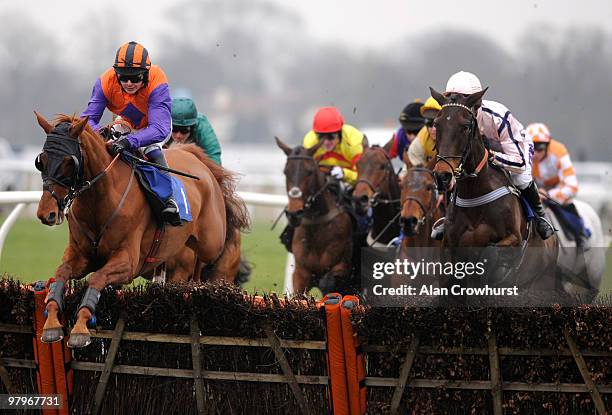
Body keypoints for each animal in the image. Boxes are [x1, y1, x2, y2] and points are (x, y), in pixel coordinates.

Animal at [32, 114, 249, 348]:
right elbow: (61, 273)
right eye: (41, 160)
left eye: (68, 162)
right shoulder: (82, 255)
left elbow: (96, 278)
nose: (46, 213)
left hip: (211, 243)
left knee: (207, 260)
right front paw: (52, 324)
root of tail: (195, 157)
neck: (100, 199)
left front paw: (80, 328)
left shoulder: (127, 263)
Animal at [276, 138, 356, 294]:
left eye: (310, 171)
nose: (294, 213)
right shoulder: (301, 274)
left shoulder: (342, 267)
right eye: (285, 172)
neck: (318, 225)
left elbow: (328, 283)